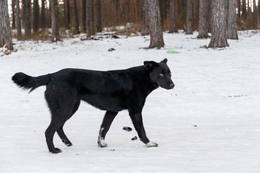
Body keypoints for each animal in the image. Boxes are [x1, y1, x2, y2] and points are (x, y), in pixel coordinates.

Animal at [12, 58, 175, 153]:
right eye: (161, 75)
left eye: (170, 73)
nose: (173, 85)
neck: (141, 78)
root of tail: (51, 76)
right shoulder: (135, 111)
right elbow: (141, 131)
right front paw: (149, 143)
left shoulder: (111, 111)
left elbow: (104, 128)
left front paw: (101, 143)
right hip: (65, 109)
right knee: (49, 131)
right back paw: (53, 150)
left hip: (70, 108)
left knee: (58, 128)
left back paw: (67, 142)